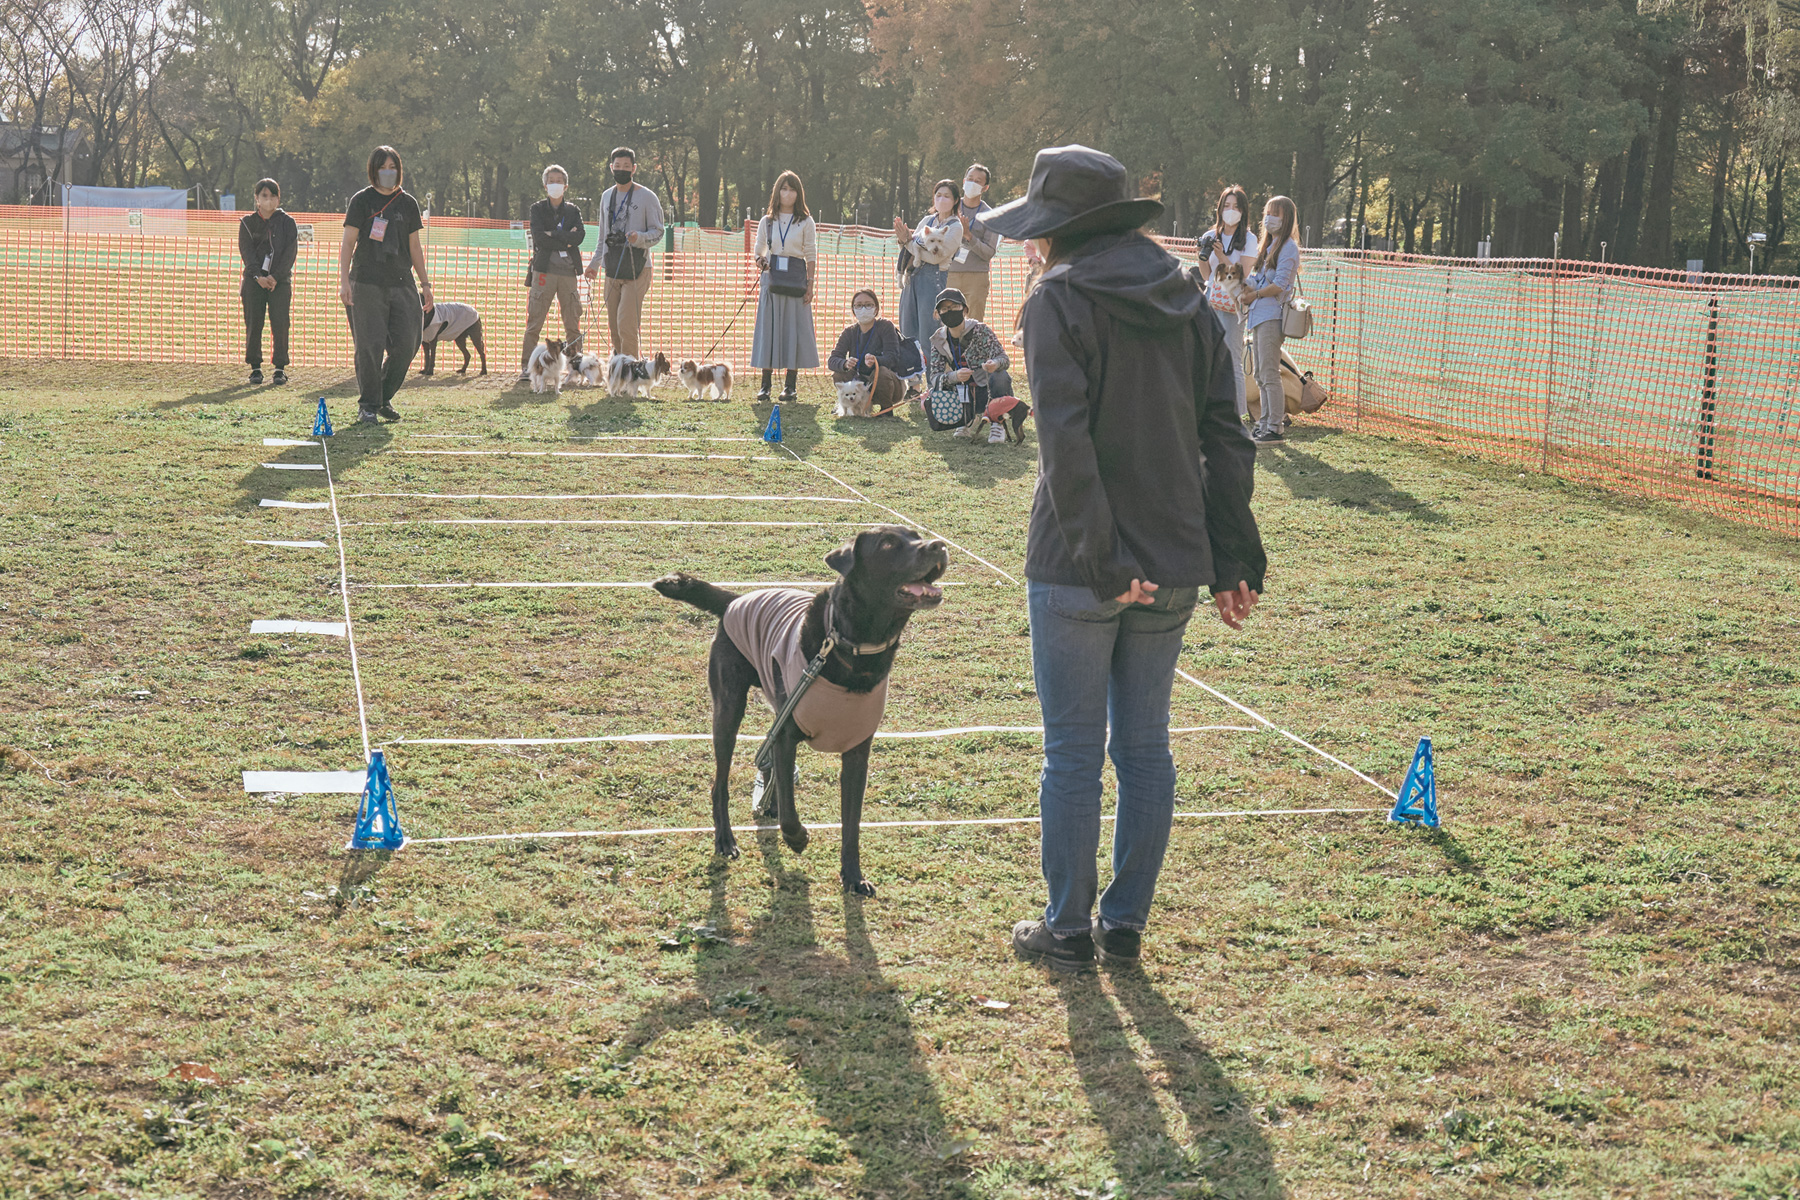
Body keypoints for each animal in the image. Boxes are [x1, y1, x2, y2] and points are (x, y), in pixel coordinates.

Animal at [655, 521, 950, 892]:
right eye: (887, 543)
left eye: (917, 537)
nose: (939, 546)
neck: (854, 648)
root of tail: (736, 600)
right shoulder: (788, 735)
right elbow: (791, 813)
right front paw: (797, 839)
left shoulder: (857, 753)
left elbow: (851, 823)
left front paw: (853, 876)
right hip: (728, 708)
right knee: (720, 783)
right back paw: (725, 838)